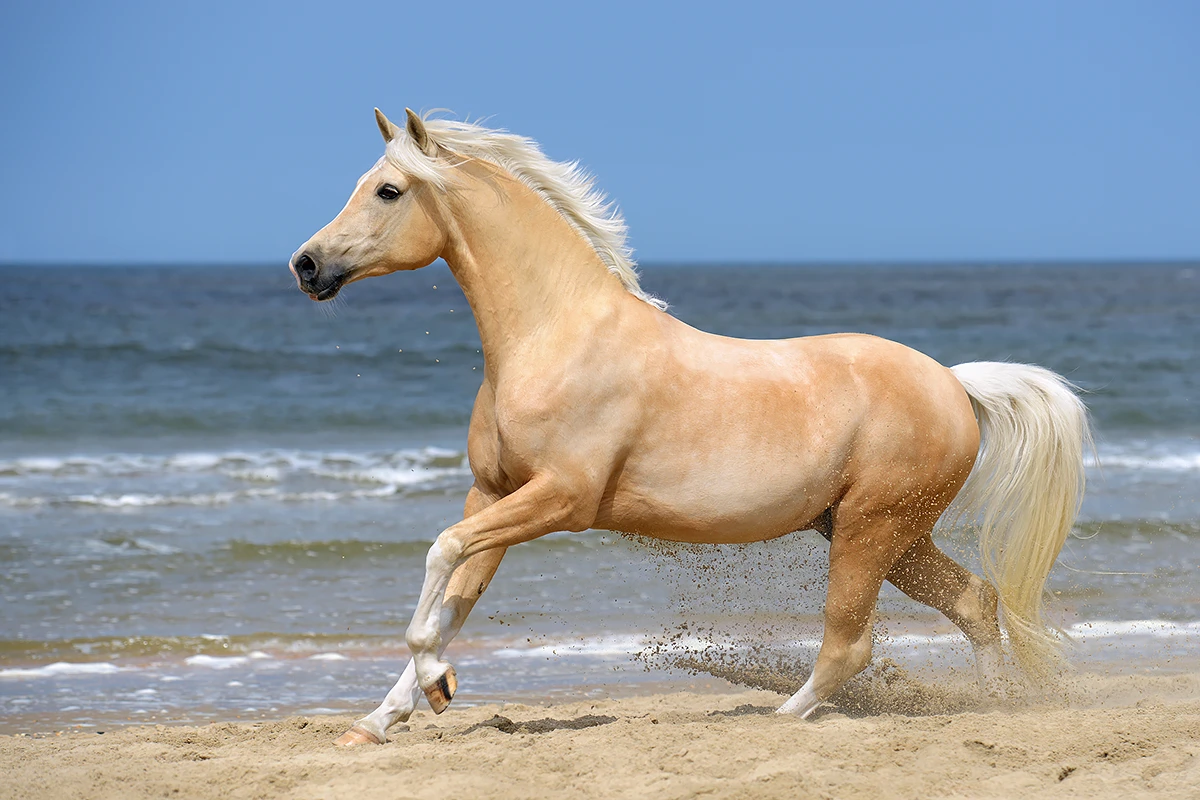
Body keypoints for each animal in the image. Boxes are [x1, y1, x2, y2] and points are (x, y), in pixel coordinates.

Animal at [288, 106, 1089, 743]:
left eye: (388, 190)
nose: (306, 265)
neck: (556, 337)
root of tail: (955, 384)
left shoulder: (559, 500)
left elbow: (441, 559)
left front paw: (438, 685)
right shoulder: (492, 493)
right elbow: (454, 596)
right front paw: (384, 718)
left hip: (872, 527)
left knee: (849, 644)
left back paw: (783, 717)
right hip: (884, 531)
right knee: (974, 601)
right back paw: (995, 707)